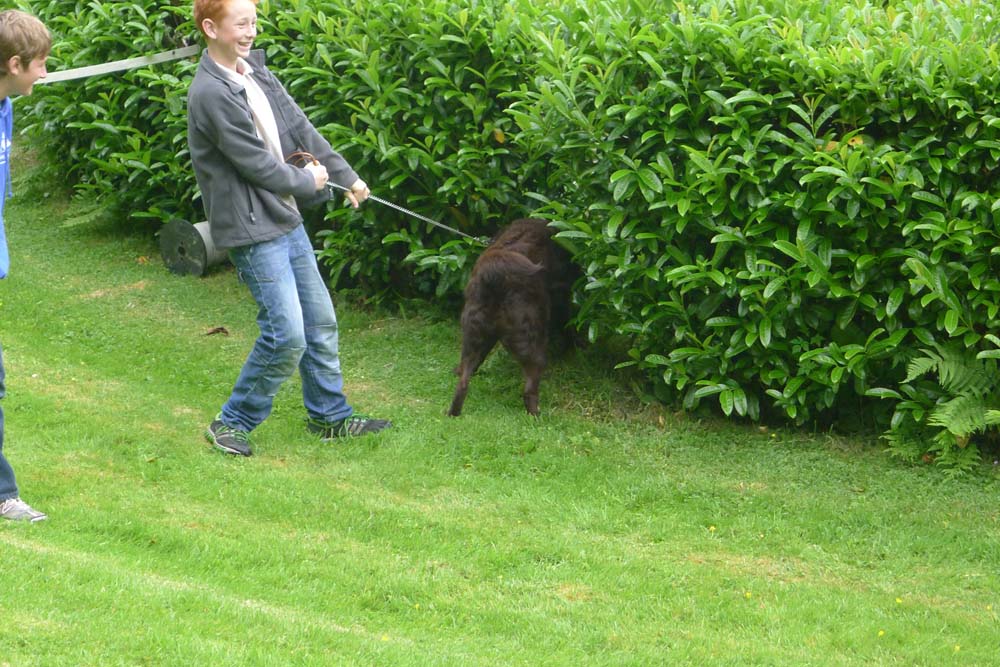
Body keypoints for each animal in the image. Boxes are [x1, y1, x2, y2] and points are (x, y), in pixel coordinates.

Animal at [448, 218, 575, 416]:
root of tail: (495, 275)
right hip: (531, 339)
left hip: (473, 332)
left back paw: (454, 412)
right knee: (529, 388)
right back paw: (536, 415)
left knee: (462, 381)